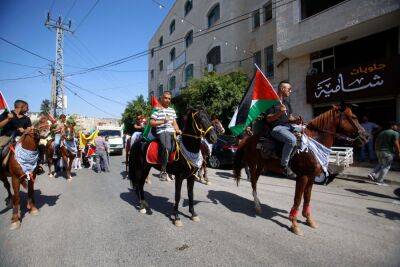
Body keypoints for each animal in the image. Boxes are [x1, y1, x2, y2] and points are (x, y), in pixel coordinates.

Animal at [234, 105, 368, 238]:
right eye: (354, 117)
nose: (366, 137)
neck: (312, 145)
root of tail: (248, 139)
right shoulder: (302, 176)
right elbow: (298, 199)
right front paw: (294, 224)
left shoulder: (312, 177)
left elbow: (307, 197)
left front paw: (309, 219)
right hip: (253, 165)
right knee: (253, 182)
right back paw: (257, 206)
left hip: (261, 166)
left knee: (254, 181)